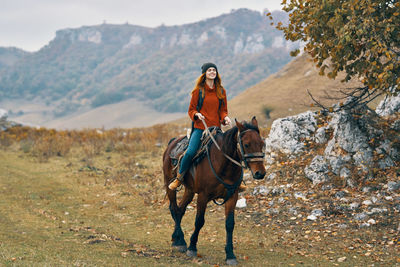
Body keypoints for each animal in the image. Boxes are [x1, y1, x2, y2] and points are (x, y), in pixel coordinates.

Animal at [162, 117, 266, 266]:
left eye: (262, 143)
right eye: (246, 144)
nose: (260, 173)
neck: (223, 165)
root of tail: (173, 142)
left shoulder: (232, 196)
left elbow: (229, 224)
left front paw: (230, 255)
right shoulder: (203, 196)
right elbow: (199, 221)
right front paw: (192, 248)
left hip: (190, 190)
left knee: (180, 210)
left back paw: (177, 240)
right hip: (170, 184)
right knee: (174, 208)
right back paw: (181, 242)